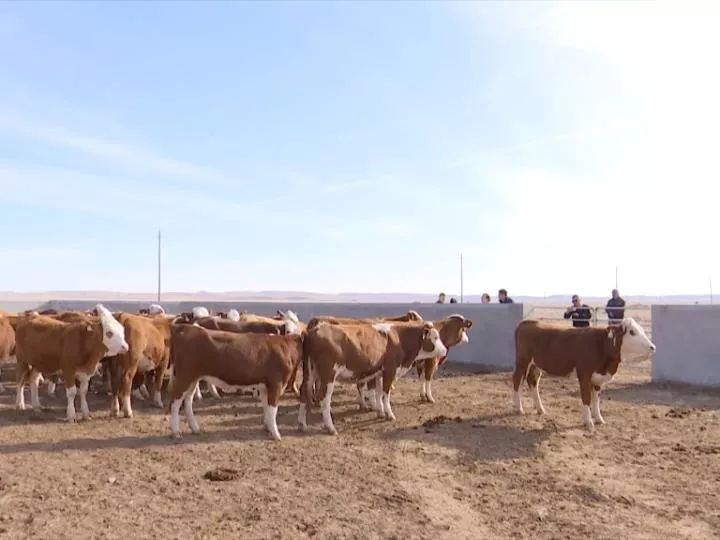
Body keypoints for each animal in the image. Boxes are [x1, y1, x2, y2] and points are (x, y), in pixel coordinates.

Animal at [167, 318, 302, 440]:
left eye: (299, 331)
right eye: (288, 330)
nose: (296, 338)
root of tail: (183, 328)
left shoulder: (265, 385)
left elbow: (266, 407)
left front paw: (267, 427)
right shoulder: (276, 383)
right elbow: (273, 409)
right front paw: (276, 434)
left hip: (193, 378)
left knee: (187, 400)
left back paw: (195, 429)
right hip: (185, 376)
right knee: (175, 402)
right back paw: (176, 432)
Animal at [296, 320, 444, 434]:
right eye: (435, 337)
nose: (444, 350)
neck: (399, 339)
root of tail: (313, 330)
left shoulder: (379, 373)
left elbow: (378, 393)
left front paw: (380, 412)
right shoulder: (390, 370)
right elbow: (386, 394)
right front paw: (389, 414)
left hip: (309, 372)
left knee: (304, 393)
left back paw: (302, 425)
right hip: (328, 375)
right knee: (324, 399)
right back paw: (330, 428)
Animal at [516, 316, 656, 430]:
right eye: (632, 332)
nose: (653, 347)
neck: (600, 345)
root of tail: (527, 322)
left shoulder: (597, 378)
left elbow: (596, 399)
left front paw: (599, 419)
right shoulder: (584, 375)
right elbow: (586, 398)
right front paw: (588, 422)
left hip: (535, 366)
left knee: (533, 382)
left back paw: (540, 409)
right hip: (522, 362)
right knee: (517, 381)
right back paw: (518, 409)